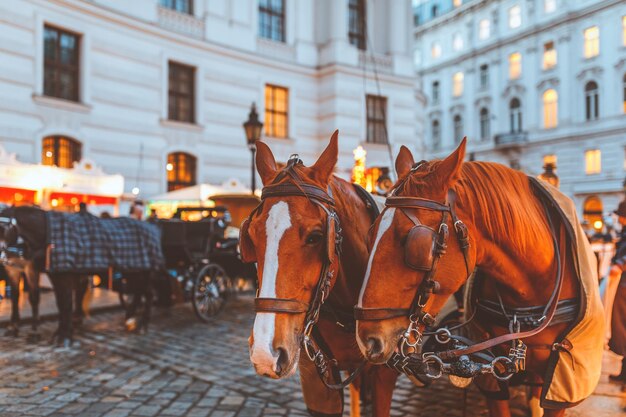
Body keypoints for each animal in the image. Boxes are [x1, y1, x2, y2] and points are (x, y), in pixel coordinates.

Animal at [0, 205, 158, 344]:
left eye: (3, 228)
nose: (2, 257)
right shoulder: (21, 270)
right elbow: (21, 298)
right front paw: (14, 327)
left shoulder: (38, 270)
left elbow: (51, 301)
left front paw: (46, 334)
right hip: (132, 271)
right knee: (138, 291)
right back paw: (130, 318)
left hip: (140, 270)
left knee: (148, 293)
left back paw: (142, 324)